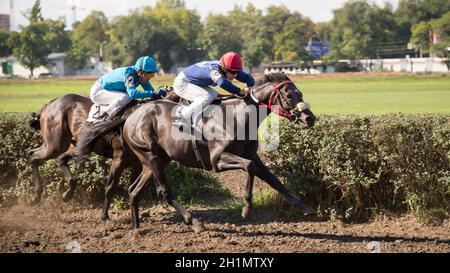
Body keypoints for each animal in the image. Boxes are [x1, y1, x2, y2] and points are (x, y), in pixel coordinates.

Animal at [119, 73, 316, 230]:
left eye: (300, 93)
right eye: (289, 94)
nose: (310, 118)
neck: (238, 116)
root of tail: (132, 116)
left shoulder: (252, 155)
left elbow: (274, 180)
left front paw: (305, 207)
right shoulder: (217, 160)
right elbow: (249, 167)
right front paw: (246, 208)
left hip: (158, 160)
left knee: (134, 190)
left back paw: (136, 229)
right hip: (151, 155)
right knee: (164, 191)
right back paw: (194, 222)